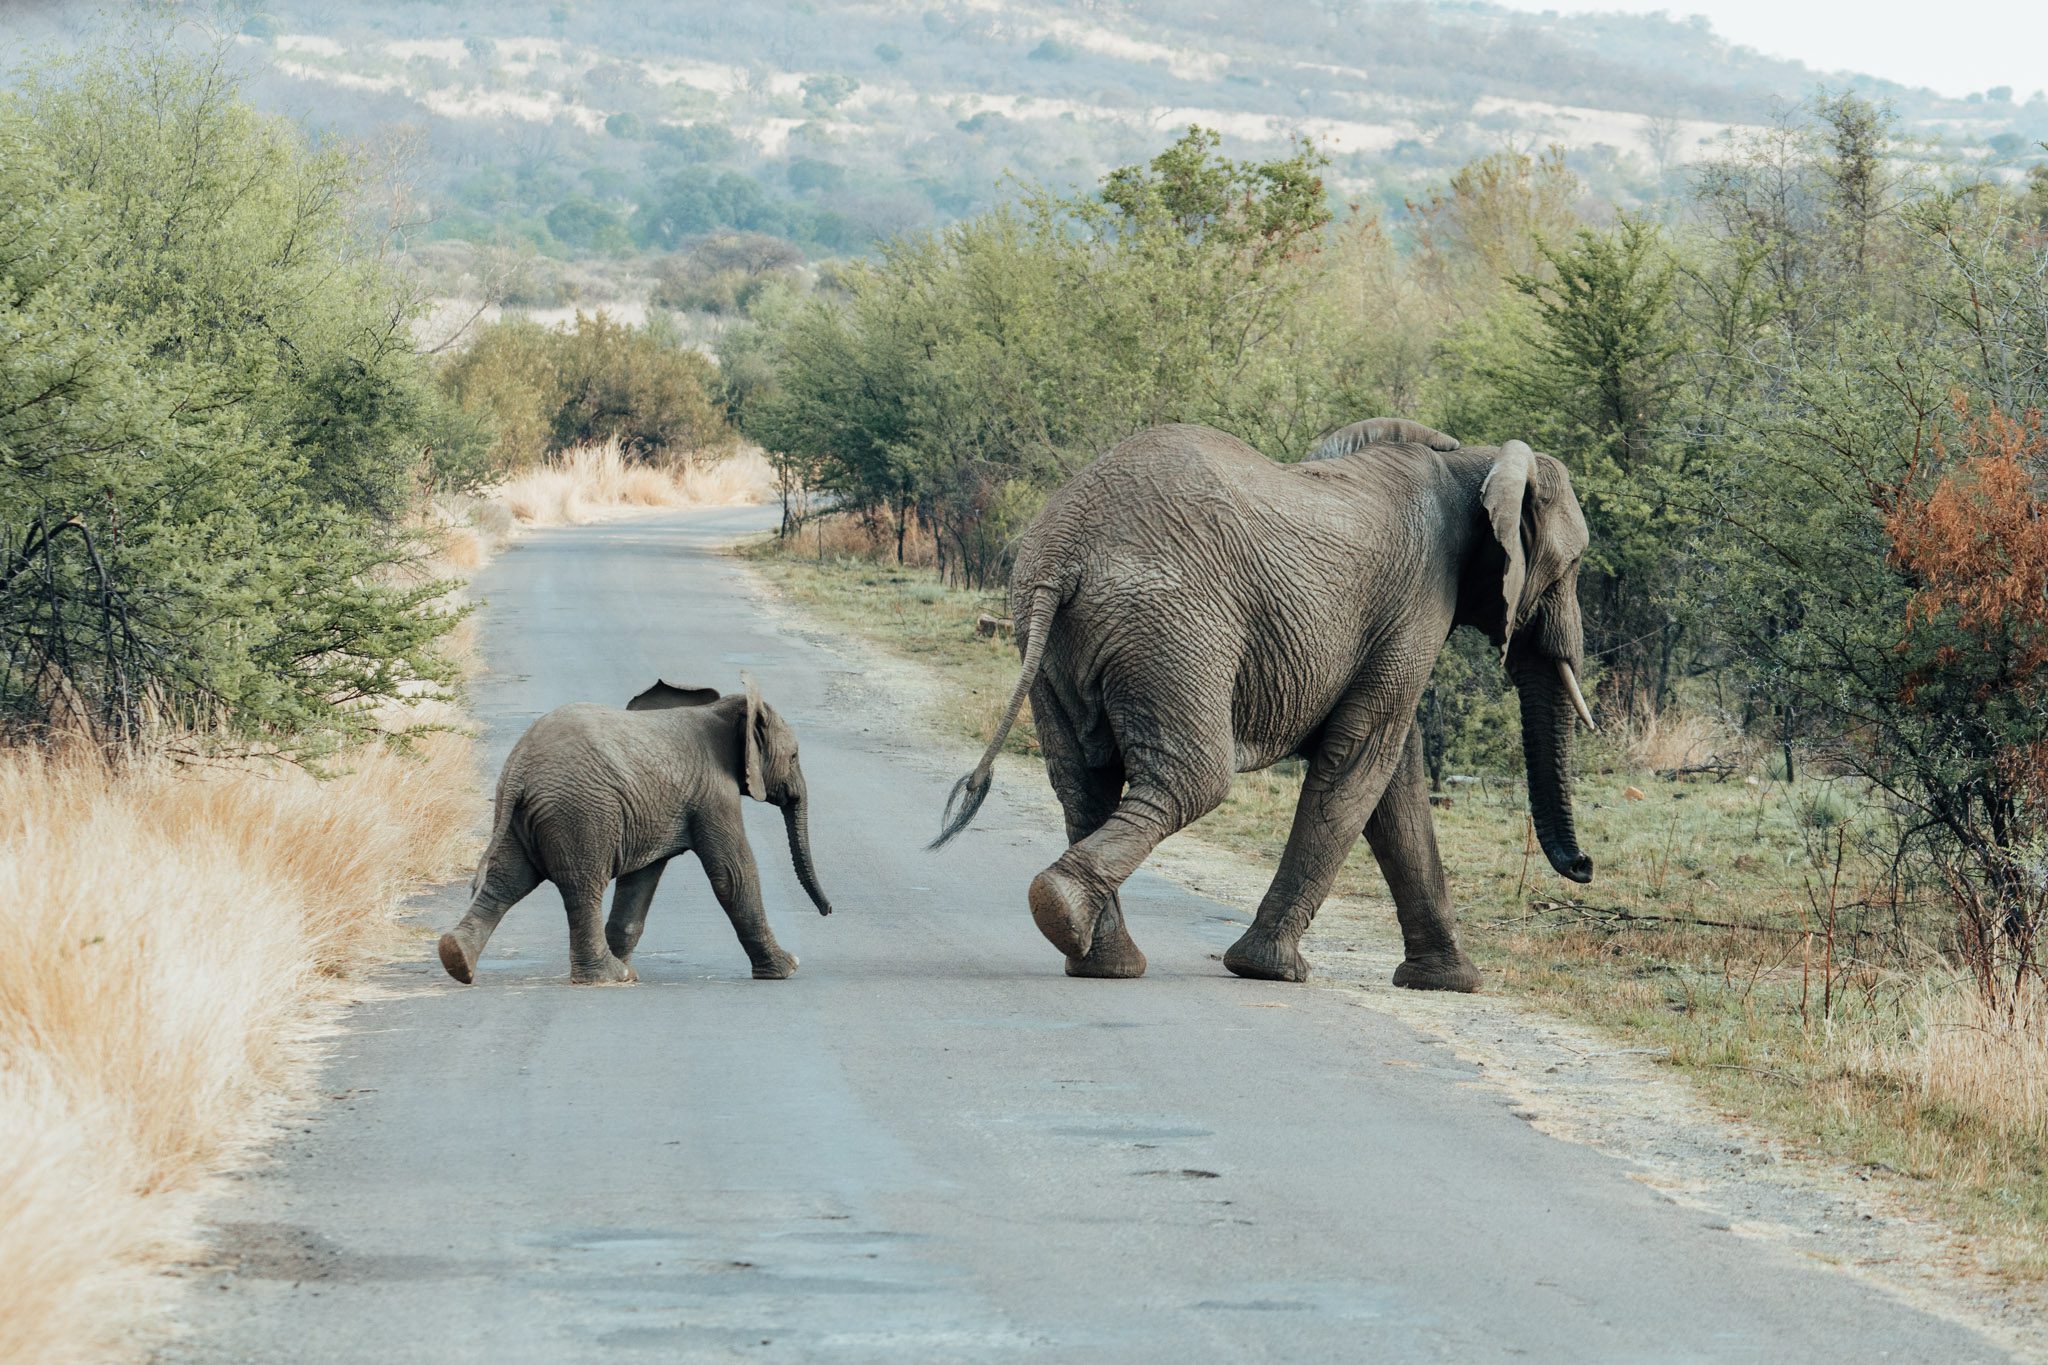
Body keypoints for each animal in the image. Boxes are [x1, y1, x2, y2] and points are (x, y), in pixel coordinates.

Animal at [438, 679, 831, 986]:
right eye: (794, 757)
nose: (828, 911)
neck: (725, 709)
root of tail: (519, 768)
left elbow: (642, 879)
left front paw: (631, 970)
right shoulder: (713, 795)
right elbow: (733, 874)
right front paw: (787, 969)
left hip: (522, 818)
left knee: (506, 882)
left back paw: (457, 960)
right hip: (581, 814)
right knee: (582, 887)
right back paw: (606, 977)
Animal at [933, 417, 1597, 994]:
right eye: (1573, 565)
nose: (1586, 866)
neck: (1469, 462)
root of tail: (1062, 551)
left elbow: (1393, 784)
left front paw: (1449, 983)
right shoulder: (1418, 604)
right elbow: (1362, 763)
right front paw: (1270, 971)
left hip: (1048, 641)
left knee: (1082, 782)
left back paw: (1100, 960)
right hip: (1172, 629)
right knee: (1192, 781)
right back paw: (1066, 913)